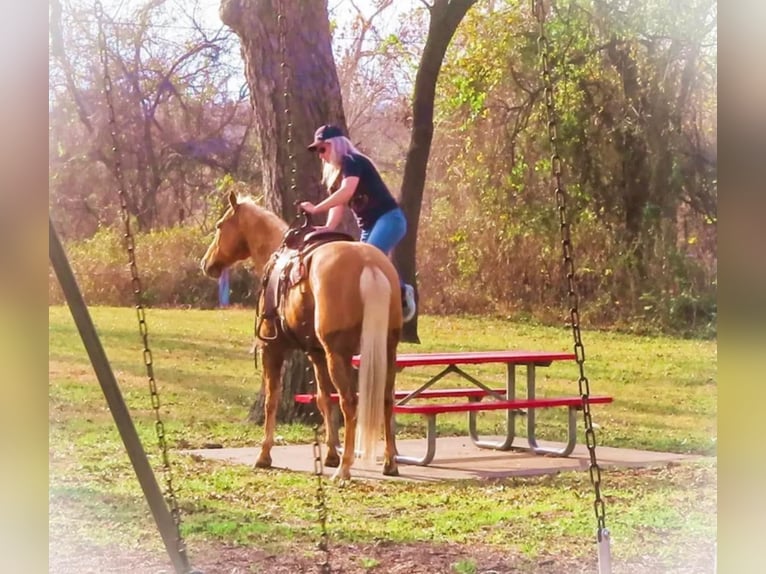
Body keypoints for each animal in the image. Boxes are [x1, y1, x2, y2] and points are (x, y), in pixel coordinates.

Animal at [200, 194, 402, 482]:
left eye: (220, 226)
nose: (207, 263)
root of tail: (369, 265)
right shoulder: (316, 353)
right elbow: (323, 398)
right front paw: (330, 453)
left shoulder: (272, 349)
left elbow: (272, 400)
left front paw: (264, 455)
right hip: (386, 349)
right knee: (385, 399)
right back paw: (388, 461)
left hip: (339, 354)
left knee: (349, 402)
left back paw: (345, 469)